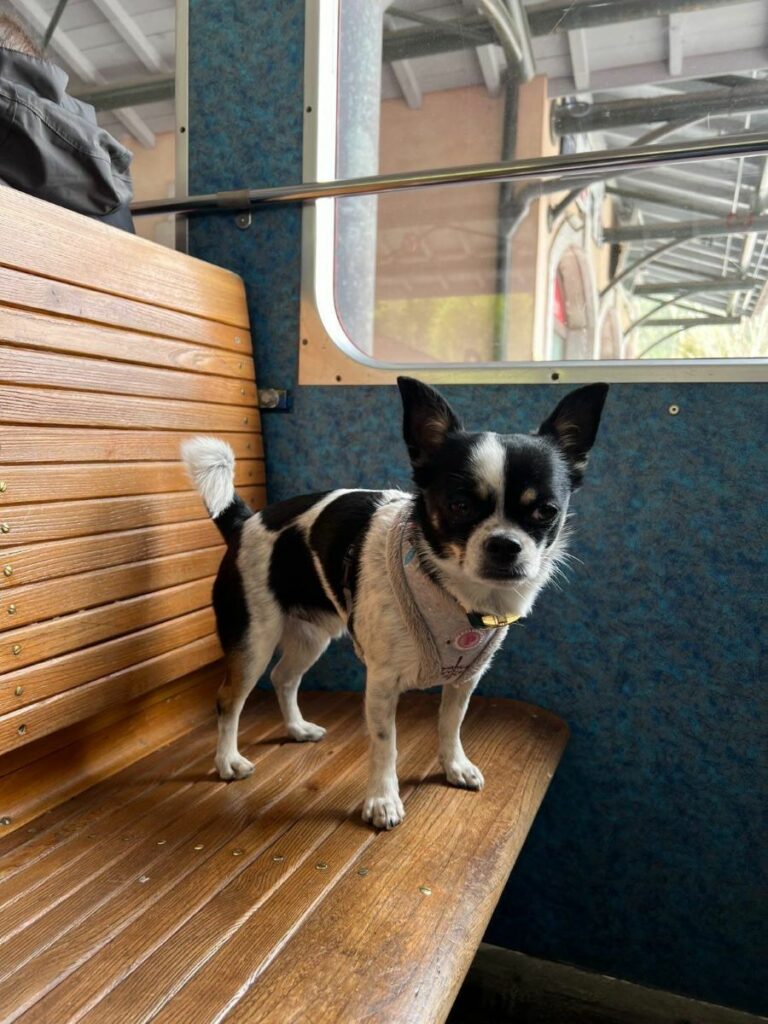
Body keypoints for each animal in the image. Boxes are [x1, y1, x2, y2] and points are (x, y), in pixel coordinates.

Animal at [183, 380, 610, 827]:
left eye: (546, 511)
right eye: (459, 505)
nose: (505, 544)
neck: (453, 592)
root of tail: (244, 522)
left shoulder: (464, 678)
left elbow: (450, 724)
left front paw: (454, 766)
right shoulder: (383, 683)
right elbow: (385, 745)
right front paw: (383, 800)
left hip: (311, 637)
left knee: (284, 677)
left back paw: (297, 728)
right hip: (254, 640)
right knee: (229, 700)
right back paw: (227, 761)